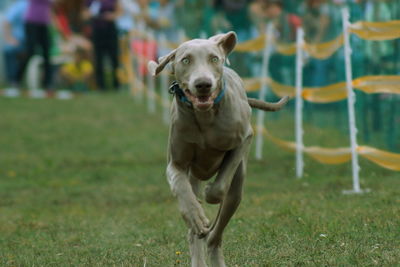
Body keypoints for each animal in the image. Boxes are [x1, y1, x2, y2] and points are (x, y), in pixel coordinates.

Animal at [147, 31, 288, 267]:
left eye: (214, 58)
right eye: (186, 60)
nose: (203, 84)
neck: (205, 117)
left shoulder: (244, 138)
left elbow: (220, 186)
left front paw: (210, 193)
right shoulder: (176, 164)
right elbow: (180, 187)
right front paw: (195, 215)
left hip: (237, 191)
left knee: (216, 232)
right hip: (193, 177)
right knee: (195, 232)